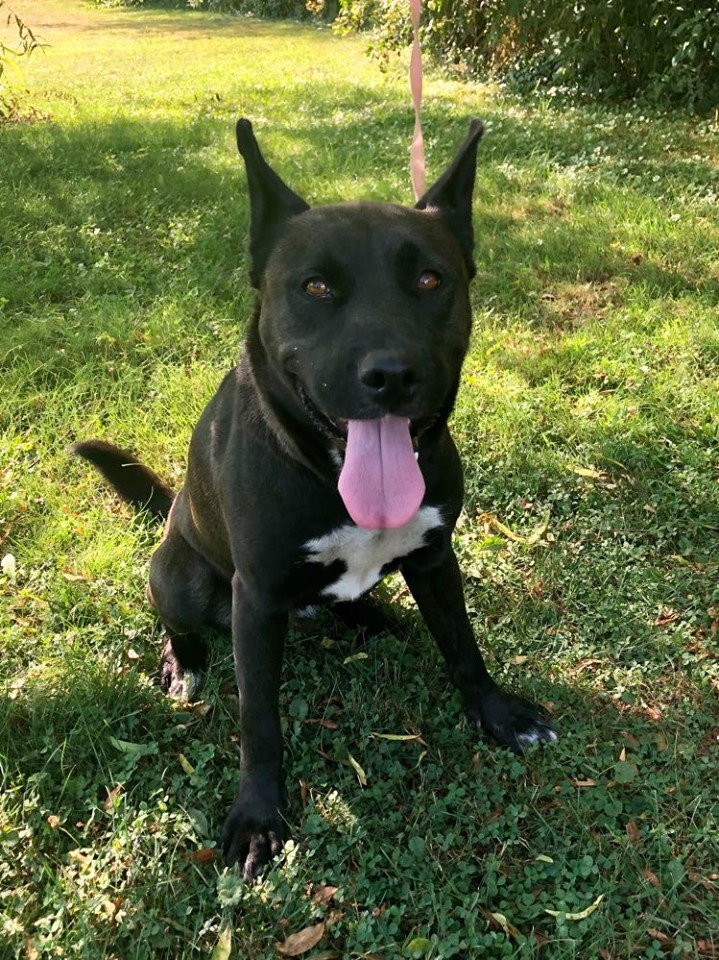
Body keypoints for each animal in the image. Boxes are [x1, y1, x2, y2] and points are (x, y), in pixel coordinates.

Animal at [74, 118, 556, 876]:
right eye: (316, 286)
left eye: (430, 278)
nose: (391, 375)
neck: (328, 471)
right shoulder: (256, 597)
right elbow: (259, 718)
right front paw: (257, 813)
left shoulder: (435, 558)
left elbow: (463, 643)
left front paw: (497, 712)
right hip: (178, 576)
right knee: (179, 620)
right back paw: (184, 662)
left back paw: (372, 618)